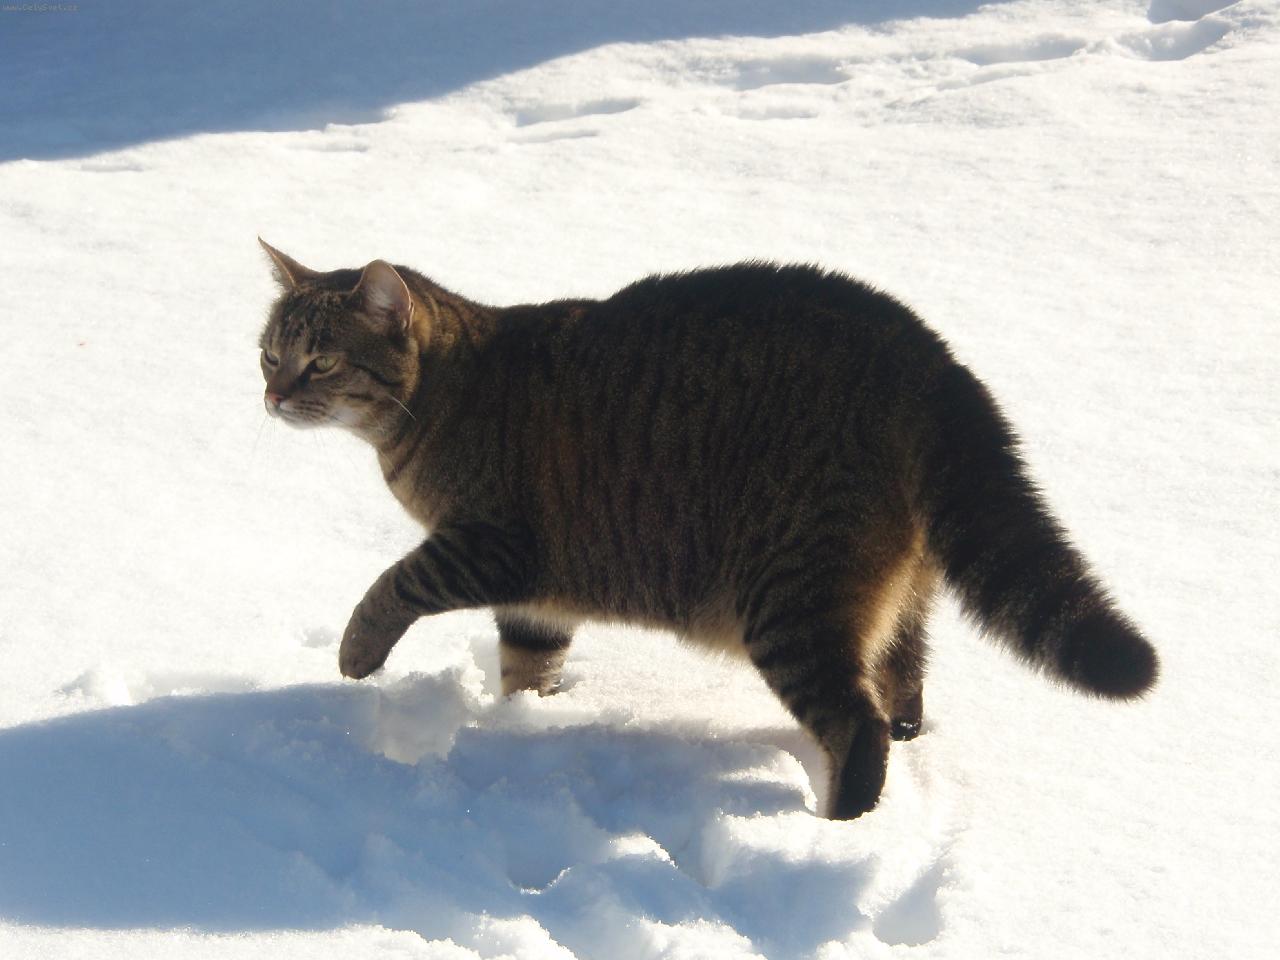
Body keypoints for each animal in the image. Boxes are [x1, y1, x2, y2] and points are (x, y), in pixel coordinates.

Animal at [256, 238, 1158, 820]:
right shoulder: (539, 593)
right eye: (268, 352)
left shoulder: (489, 545)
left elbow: (392, 585)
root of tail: (932, 361)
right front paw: (524, 730)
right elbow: (528, 664)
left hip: (791, 603)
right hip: (900, 594)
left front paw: (356, 657)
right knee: (903, 692)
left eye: (321, 361)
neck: (442, 391)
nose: (271, 395)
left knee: (860, 727)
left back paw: (836, 829)